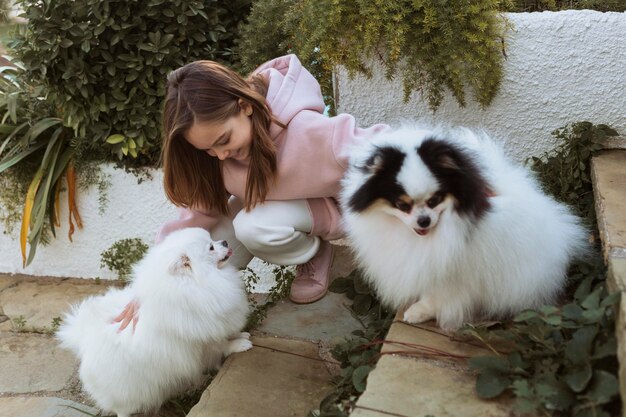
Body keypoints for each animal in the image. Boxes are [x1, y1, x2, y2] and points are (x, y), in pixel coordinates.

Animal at [56, 228, 250, 416]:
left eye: (213, 239)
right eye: (210, 247)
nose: (225, 241)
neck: (194, 283)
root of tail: (85, 338)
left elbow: (227, 334)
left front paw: (241, 335)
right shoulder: (202, 341)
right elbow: (221, 345)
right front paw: (240, 345)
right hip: (126, 390)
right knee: (122, 408)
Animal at [338, 126, 588, 328]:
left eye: (435, 200)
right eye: (402, 205)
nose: (423, 220)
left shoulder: (453, 271)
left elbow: (436, 295)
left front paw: (419, 311)